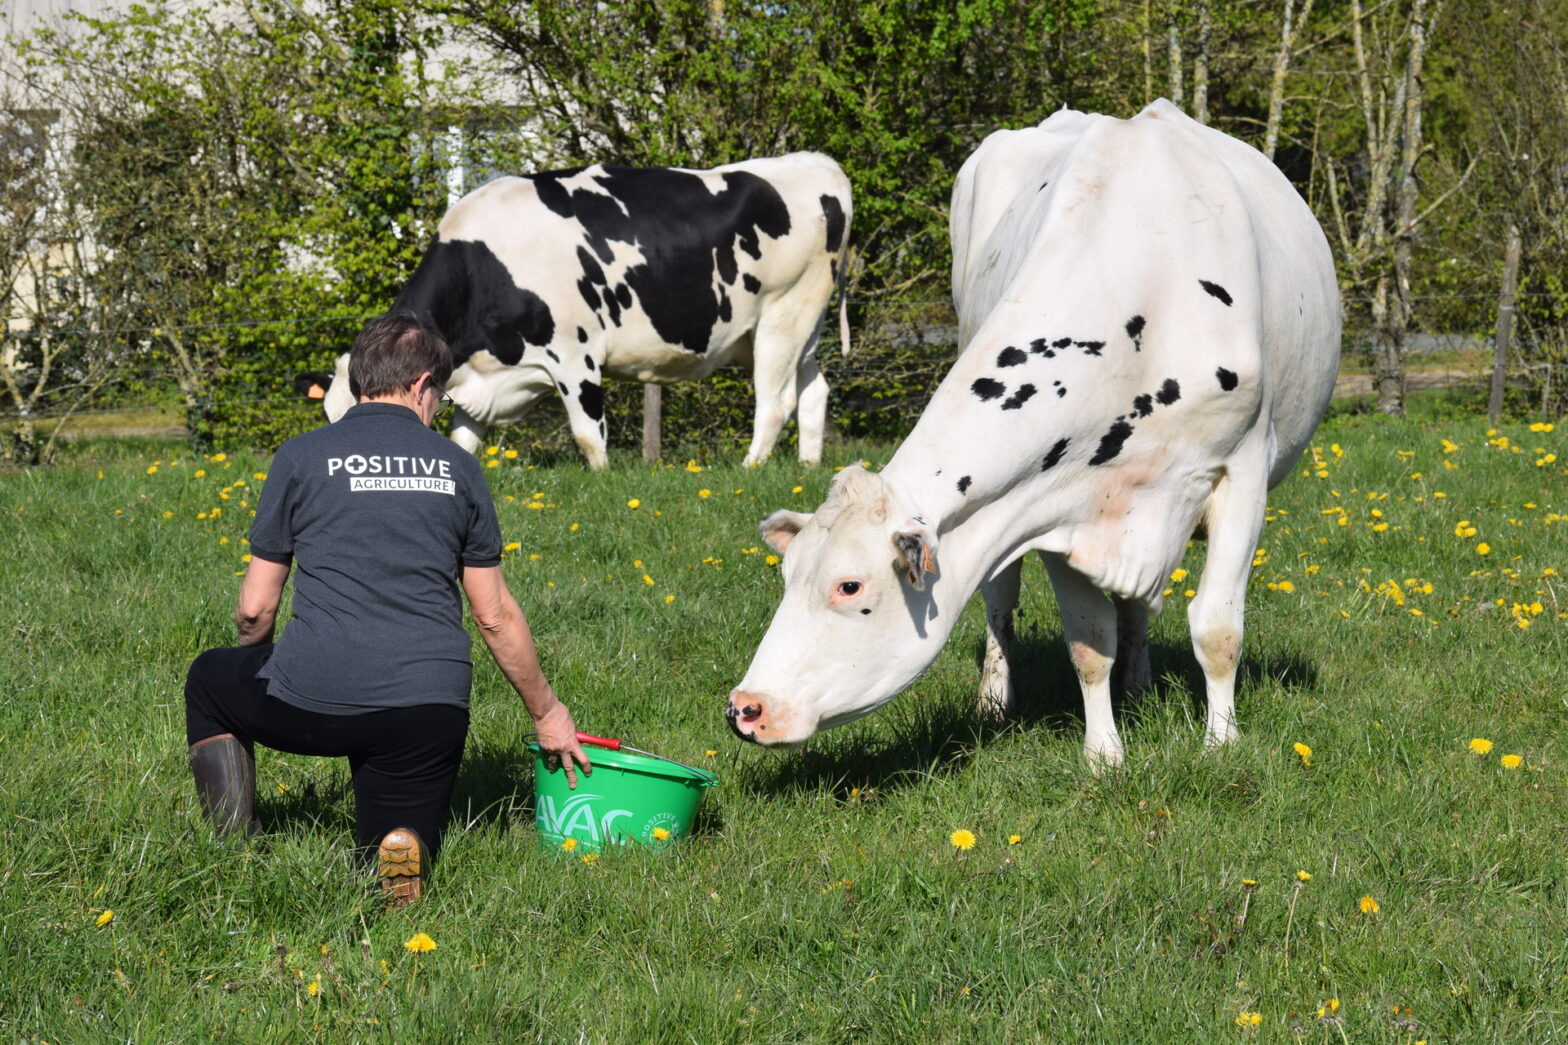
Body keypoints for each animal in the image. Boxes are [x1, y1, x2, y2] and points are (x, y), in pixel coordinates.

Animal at [299, 151, 852, 467]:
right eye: (330, 417)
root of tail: (817, 163)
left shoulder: (573, 355)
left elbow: (589, 438)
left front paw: (604, 480)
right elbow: (463, 441)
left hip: (783, 316)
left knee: (774, 401)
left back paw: (750, 468)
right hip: (803, 329)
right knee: (814, 392)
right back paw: (807, 469)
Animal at [727, 99, 1342, 765]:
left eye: (848, 585)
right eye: (788, 575)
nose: (746, 708)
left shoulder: (1243, 471)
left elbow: (1217, 629)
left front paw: (1221, 745)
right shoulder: (1053, 503)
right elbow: (1089, 643)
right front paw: (1104, 757)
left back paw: (1140, 685)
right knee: (1004, 602)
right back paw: (997, 701)